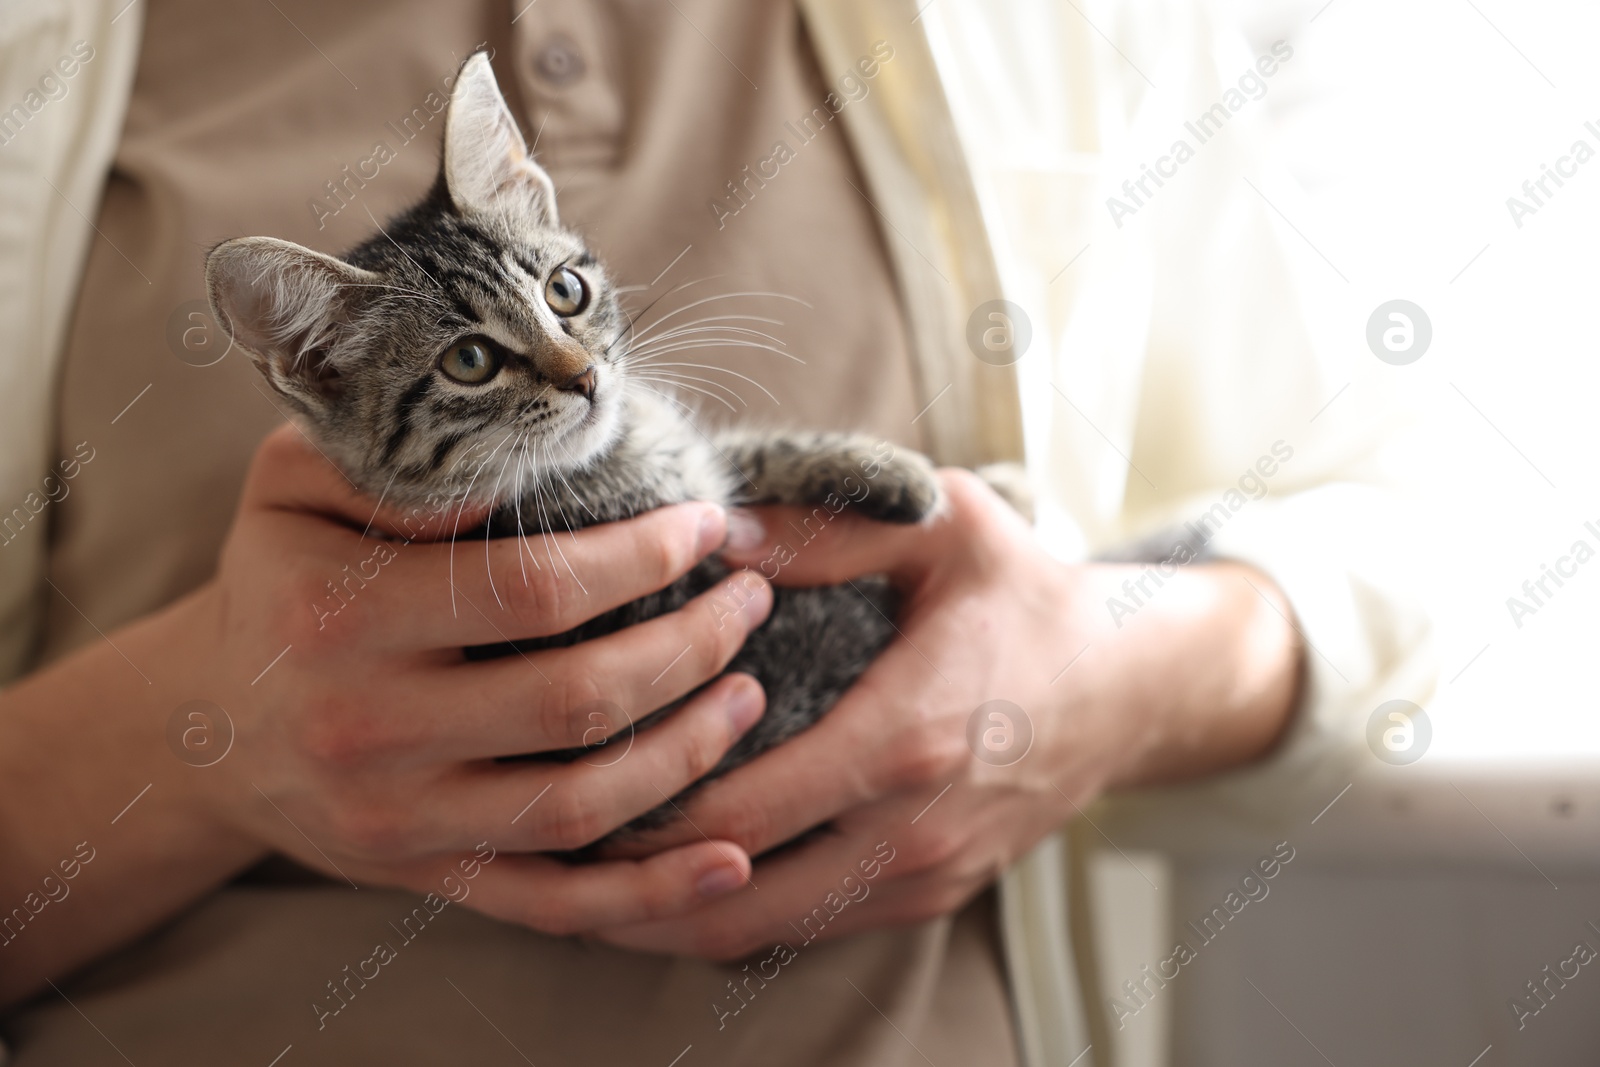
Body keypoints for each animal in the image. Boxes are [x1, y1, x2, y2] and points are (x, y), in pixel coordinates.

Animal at [206, 51, 940, 851]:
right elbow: (821, 641)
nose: (585, 376)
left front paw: (887, 472)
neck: (602, 465)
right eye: (469, 361)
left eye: (565, 290)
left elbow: (739, 456)